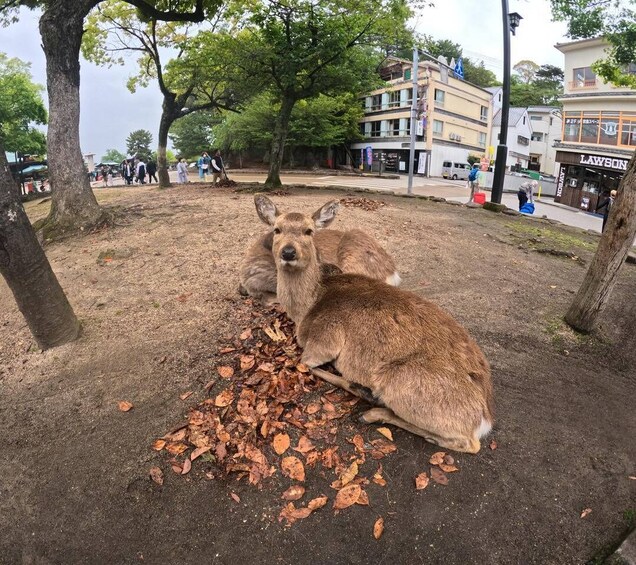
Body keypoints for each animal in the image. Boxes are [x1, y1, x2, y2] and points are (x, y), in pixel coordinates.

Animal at [255, 195, 496, 454]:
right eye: (277, 229)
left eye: (309, 231)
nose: (288, 252)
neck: (306, 307)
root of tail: (485, 418)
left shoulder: (325, 338)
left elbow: (305, 363)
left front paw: (360, 388)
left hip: (399, 381)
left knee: (468, 443)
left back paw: (372, 410)